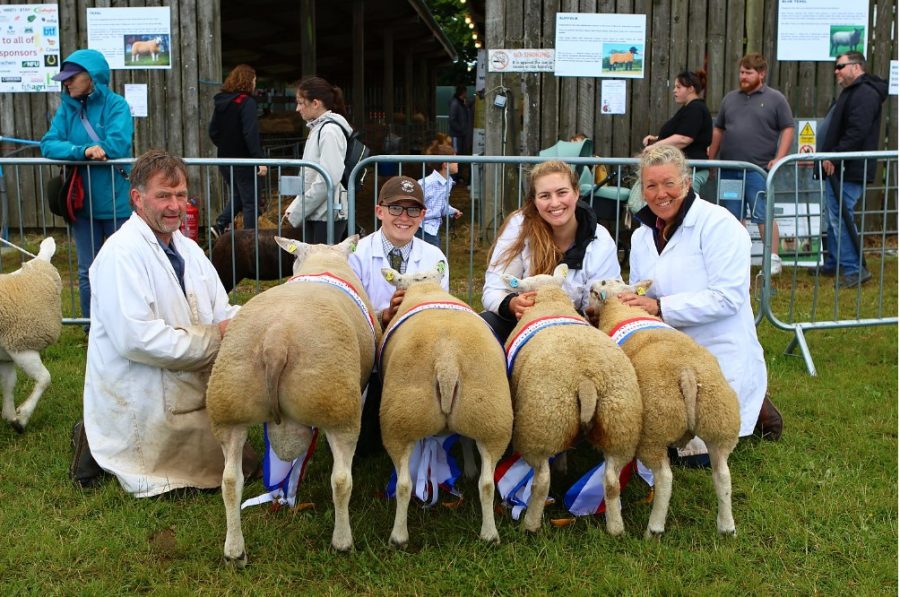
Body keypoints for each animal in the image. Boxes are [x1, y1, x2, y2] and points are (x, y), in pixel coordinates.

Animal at [0, 237, 62, 434]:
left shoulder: (6, 354)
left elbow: (9, 383)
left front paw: (9, 415)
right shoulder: (23, 345)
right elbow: (44, 379)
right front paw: (21, 418)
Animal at [206, 234, 382, 564]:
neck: (324, 262)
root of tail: (276, 340)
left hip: (228, 406)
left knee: (230, 481)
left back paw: (234, 551)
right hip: (338, 405)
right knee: (341, 481)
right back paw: (342, 542)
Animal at [376, 264, 510, 544]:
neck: (425, 287)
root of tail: (447, 362)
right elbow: (465, 439)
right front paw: (469, 468)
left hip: (399, 419)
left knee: (403, 484)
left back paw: (398, 536)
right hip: (492, 416)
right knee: (487, 483)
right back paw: (489, 534)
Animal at [502, 266, 644, 536]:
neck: (549, 300)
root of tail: (586, 381)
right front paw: (564, 466)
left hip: (542, 421)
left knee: (541, 482)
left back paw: (531, 525)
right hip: (619, 423)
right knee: (611, 482)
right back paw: (615, 527)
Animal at [588, 278, 740, 536]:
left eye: (596, 288)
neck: (620, 305)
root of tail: (687, 374)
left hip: (654, 430)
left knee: (664, 478)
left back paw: (653, 528)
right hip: (719, 421)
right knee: (722, 475)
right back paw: (726, 527)